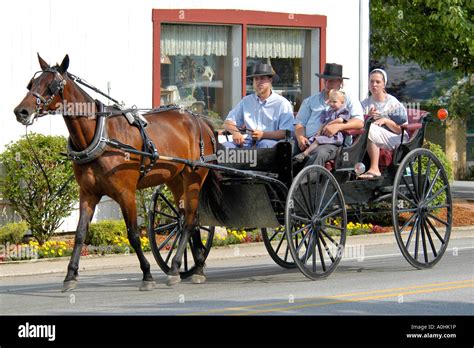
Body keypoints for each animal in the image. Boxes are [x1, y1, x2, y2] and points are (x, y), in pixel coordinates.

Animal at [13, 53, 222, 290]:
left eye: (52, 85)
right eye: (31, 84)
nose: (21, 111)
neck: (102, 135)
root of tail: (201, 121)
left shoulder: (126, 193)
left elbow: (133, 234)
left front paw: (147, 275)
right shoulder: (88, 193)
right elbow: (80, 234)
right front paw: (70, 276)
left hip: (194, 176)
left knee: (188, 221)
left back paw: (176, 267)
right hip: (176, 180)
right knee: (189, 218)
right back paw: (197, 266)